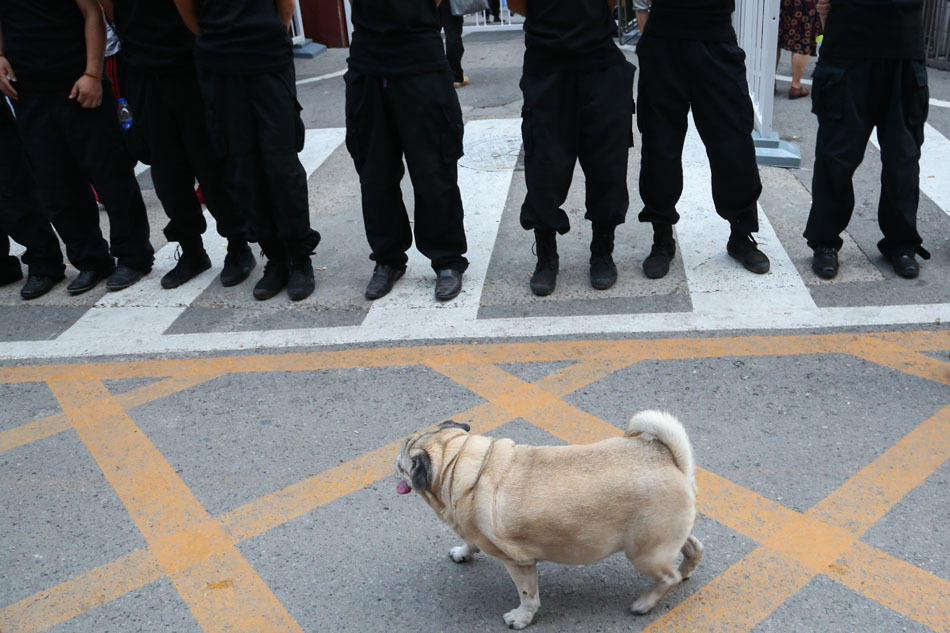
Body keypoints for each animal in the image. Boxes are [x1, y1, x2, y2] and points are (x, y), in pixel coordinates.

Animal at [394, 410, 700, 628]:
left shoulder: (519, 564)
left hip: (645, 554)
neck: (461, 465)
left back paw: (645, 603)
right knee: (694, 548)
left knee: (668, 577)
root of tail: (671, 460)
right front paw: (463, 551)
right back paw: (686, 571)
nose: (394, 460)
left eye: (403, 464)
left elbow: (528, 595)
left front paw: (521, 618)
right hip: (666, 537)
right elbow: (470, 541)